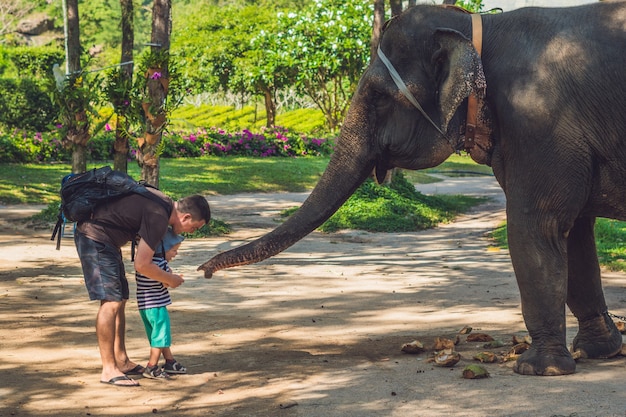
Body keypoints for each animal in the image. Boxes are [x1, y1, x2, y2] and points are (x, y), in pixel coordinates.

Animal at [199, 1, 624, 376]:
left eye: (378, 96)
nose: (203, 270)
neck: (480, 27)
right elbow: (574, 234)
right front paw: (595, 352)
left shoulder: (538, 120)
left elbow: (538, 225)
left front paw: (538, 370)